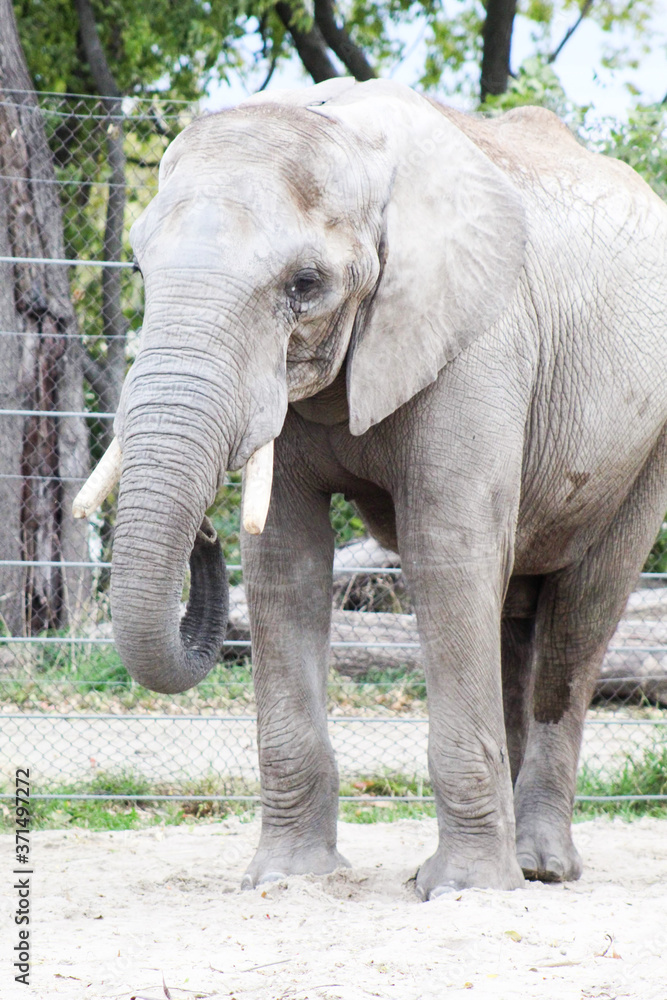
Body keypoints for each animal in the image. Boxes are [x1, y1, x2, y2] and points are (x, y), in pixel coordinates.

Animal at [77, 77, 667, 900]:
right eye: (137, 270)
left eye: (305, 284)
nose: (207, 531)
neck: (348, 137)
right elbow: (286, 563)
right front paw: (286, 880)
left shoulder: (477, 340)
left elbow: (445, 548)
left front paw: (465, 892)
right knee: (513, 612)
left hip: (646, 444)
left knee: (581, 613)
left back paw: (537, 869)